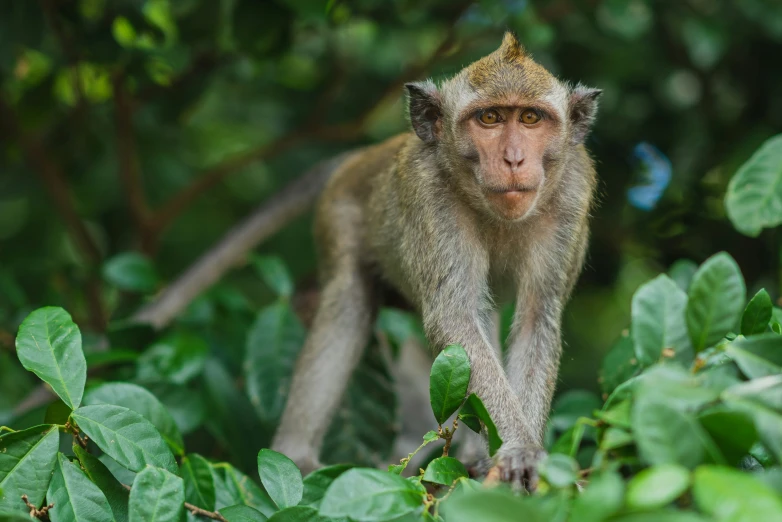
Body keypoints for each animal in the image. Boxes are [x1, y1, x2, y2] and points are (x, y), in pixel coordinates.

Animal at [272, 32, 604, 488]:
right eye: (490, 118)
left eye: (531, 118)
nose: (514, 159)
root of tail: (363, 156)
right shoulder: (429, 195)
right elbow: (454, 317)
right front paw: (520, 449)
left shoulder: (572, 190)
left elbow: (536, 318)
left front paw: (523, 455)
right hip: (338, 215)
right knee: (348, 305)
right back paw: (296, 457)